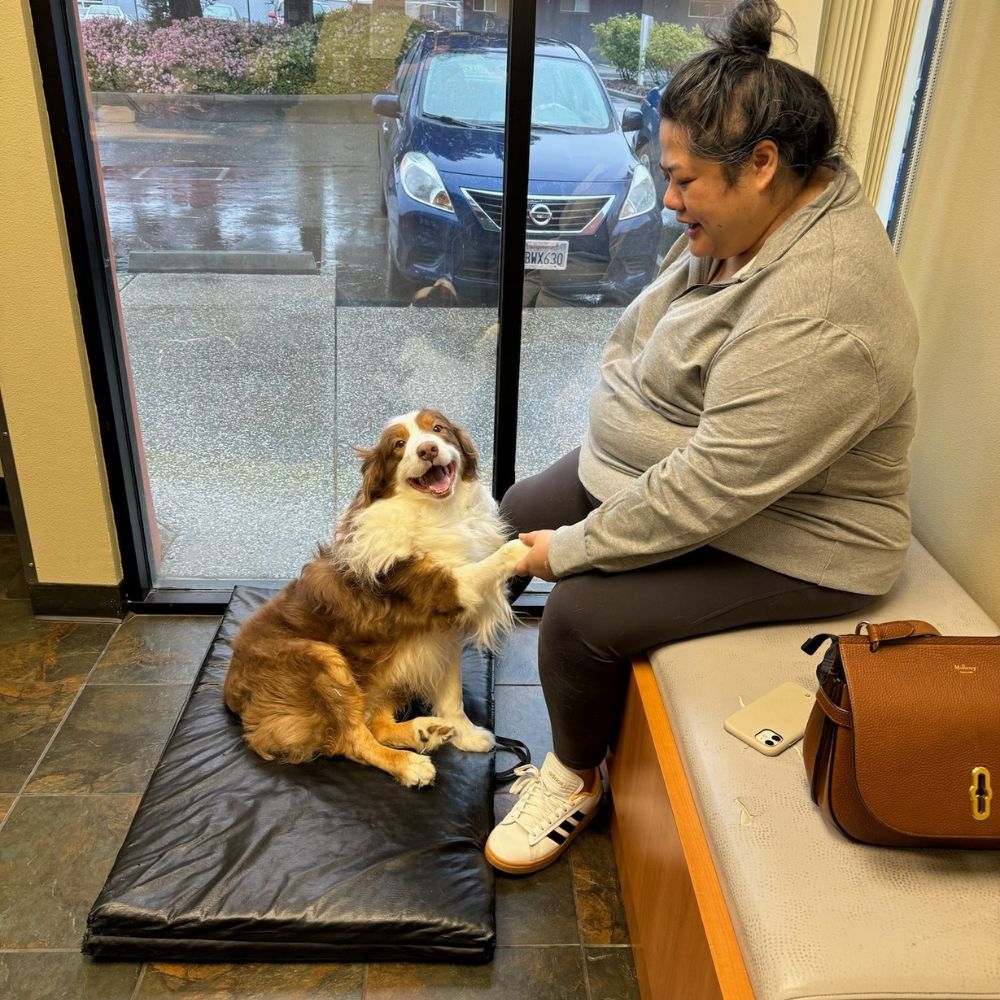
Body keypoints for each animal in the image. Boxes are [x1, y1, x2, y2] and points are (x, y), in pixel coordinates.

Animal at [223, 410, 528, 784]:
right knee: (352, 737)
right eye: (398, 444)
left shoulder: (443, 636)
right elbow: (499, 556)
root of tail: (232, 692)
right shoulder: (440, 585)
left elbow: (451, 694)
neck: (440, 512)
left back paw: (424, 732)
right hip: (323, 659)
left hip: (388, 668)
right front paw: (541, 543)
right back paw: (408, 763)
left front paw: (465, 733)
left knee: (375, 722)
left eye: (437, 428)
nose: (427, 450)